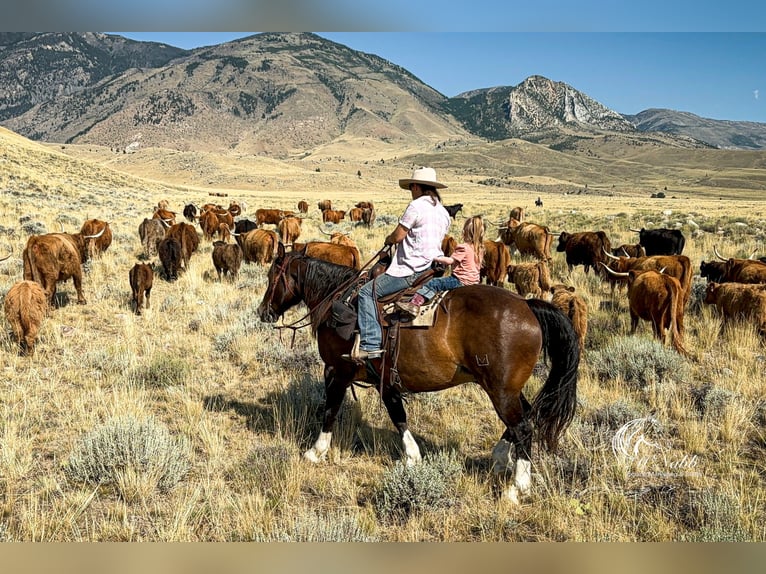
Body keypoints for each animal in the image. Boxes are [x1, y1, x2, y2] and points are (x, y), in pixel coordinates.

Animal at [258, 245, 584, 506]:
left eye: (272, 278)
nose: (263, 311)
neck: (339, 299)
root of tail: (527, 305)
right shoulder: (385, 377)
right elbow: (396, 412)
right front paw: (413, 456)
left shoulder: (338, 370)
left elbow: (332, 409)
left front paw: (316, 451)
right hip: (508, 389)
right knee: (526, 417)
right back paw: (501, 457)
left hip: (501, 391)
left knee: (524, 427)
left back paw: (516, 488)